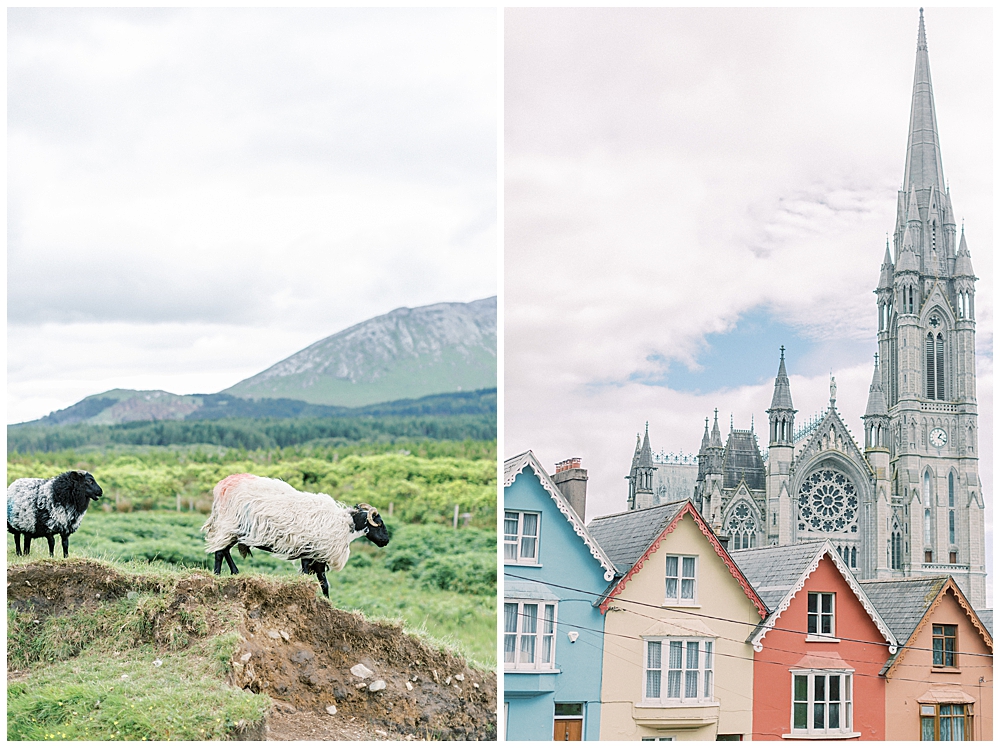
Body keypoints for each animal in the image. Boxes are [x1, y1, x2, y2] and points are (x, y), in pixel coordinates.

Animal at [201, 474, 388, 596]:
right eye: (379, 522)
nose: (386, 541)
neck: (345, 525)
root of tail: (222, 486)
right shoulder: (311, 553)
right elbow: (313, 579)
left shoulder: (315, 556)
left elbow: (324, 584)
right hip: (230, 524)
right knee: (220, 552)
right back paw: (217, 576)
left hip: (235, 530)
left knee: (224, 550)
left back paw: (235, 572)